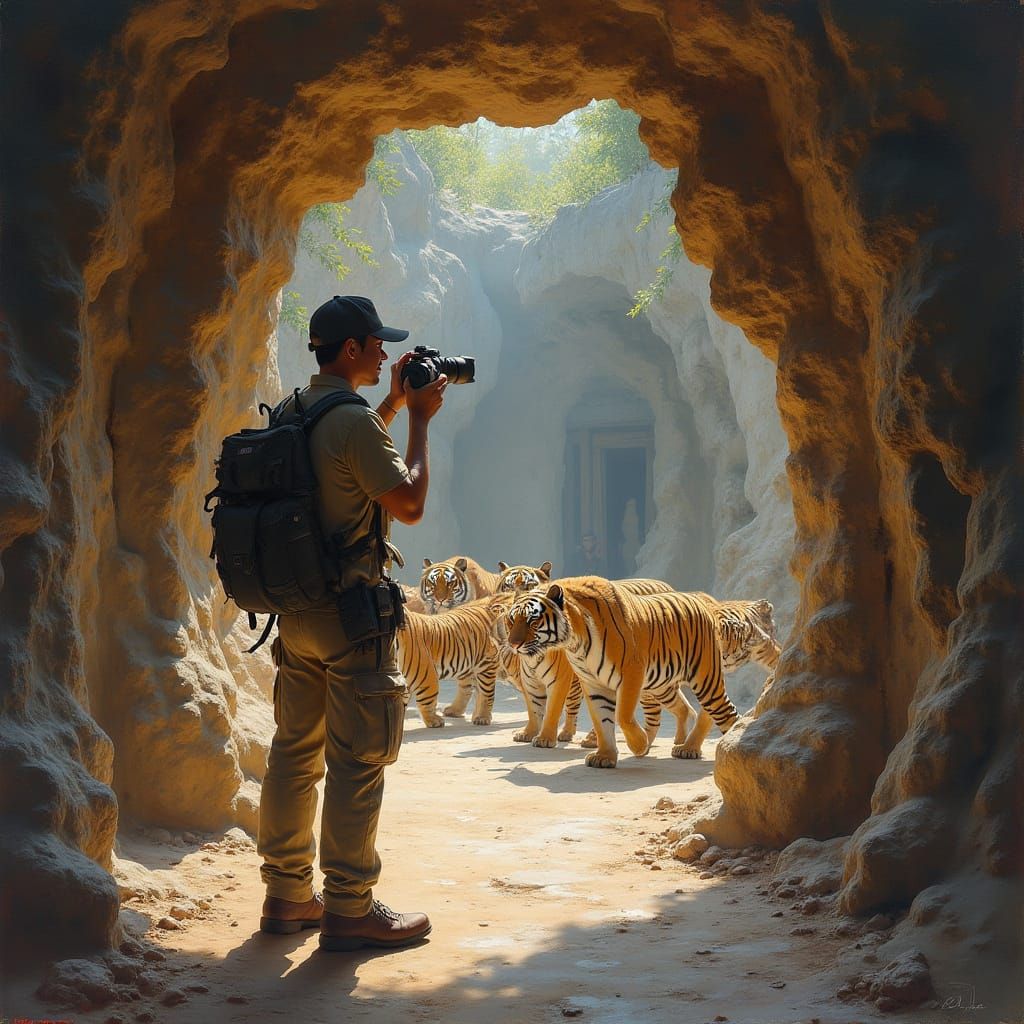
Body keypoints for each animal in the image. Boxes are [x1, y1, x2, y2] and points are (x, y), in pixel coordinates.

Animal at [396, 599, 502, 727]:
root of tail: (487, 609)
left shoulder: (425, 673)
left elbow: (427, 698)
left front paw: (433, 720)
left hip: (485, 665)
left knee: (486, 693)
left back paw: (482, 717)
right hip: (467, 666)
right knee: (468, 689)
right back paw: (457, 711)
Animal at [503, 576, 737, 767]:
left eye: (533, 620)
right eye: (512, 620)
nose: (513, 644)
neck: (574, 641)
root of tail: (702, 600)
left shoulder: (630, 672)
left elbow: (622, 715)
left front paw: (638, 744)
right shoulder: (592, 682)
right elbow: (601, 720)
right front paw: (605, 756)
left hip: (704, 678)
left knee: (723, 711)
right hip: (660, 685)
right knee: (685, 709)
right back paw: (683, 746)